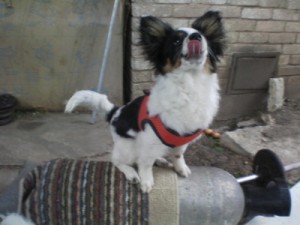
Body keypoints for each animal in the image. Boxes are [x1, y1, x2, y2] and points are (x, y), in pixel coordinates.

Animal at [65, 11, 225, 193]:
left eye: (203, 37)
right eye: (176, 41)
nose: (195, 37)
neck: (190, 84)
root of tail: (115, 111)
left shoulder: (181, 140)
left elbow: (178, 155)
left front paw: (180, 167)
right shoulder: (149, 139)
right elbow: (146, 164)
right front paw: (146, 180)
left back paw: (160, 160)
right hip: (128, 148)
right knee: (117, 160)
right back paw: (132, 173)